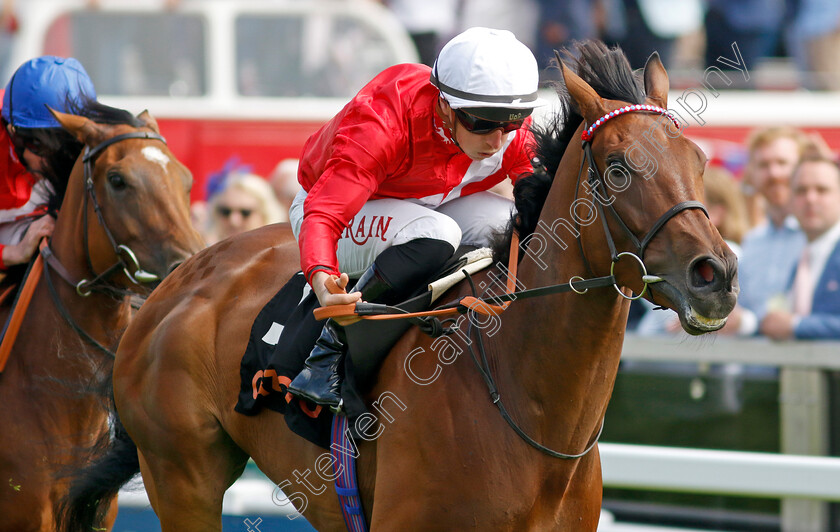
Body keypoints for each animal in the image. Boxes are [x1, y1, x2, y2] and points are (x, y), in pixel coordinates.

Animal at [57, 42, 736, 532]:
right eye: (618, 168)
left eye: (699, 160)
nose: (717, 275)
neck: (529, 408)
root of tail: (173, 282)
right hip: (182, 475)